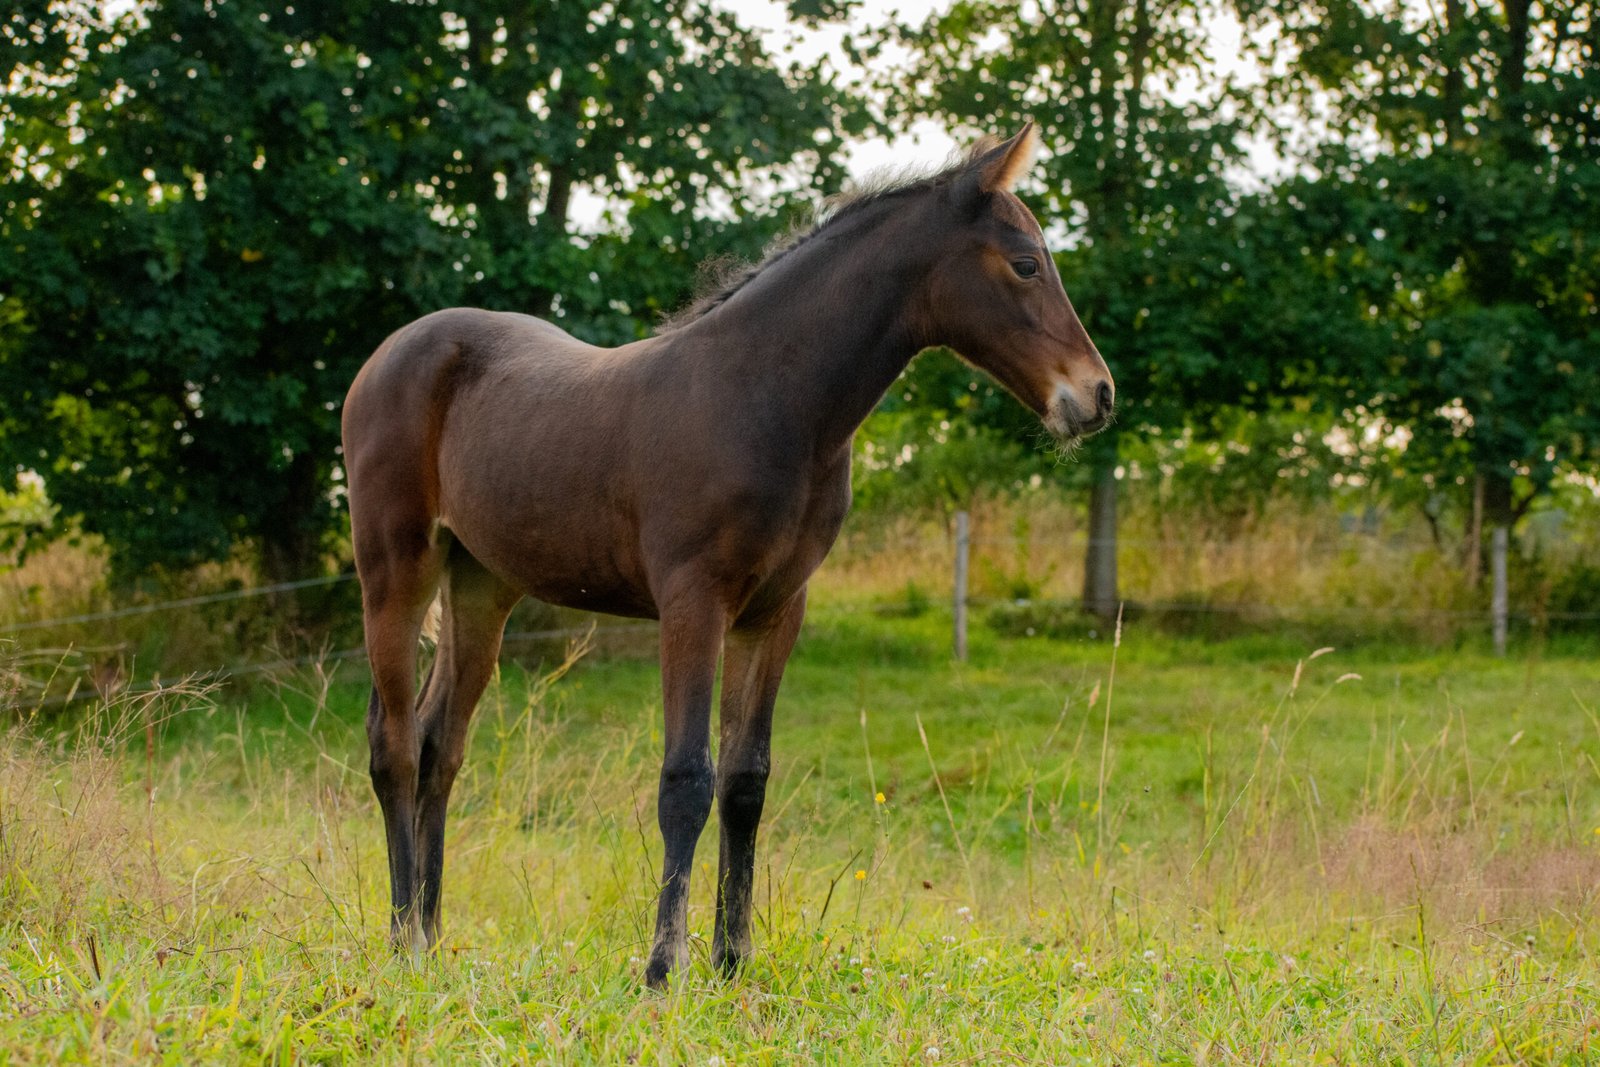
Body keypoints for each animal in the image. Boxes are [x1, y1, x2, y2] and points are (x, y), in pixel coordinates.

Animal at [341, 123, 1113, 987]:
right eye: (1026, 263)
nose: (1097, 394)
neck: (769, 395)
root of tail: (390, 353)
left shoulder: (774, 611)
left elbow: (747, 781)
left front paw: (733, 959)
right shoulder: (693, 601)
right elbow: (687, 777)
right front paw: (662, 967)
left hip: (481, 584)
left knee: (440, 745)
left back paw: (432, 937)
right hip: (396, 569)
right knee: (395, 745)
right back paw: (402, 939)